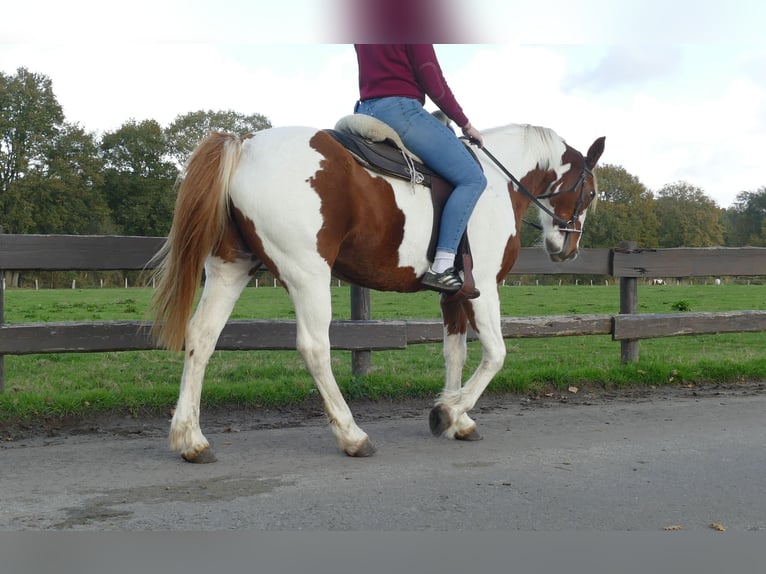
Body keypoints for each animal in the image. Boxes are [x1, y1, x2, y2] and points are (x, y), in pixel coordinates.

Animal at [148, 120, 608, 464]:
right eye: (591, 192)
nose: (567, 249)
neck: (496, 181)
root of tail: (245, 143)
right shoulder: (486, 289)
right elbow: (496, 354)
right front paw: (447, 413)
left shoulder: (455, 294)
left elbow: (455, 353)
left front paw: (458, 419)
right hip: (307, 274)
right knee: (314, 348)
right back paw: (352, 435)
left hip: (231, 268)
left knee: (202, 337)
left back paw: (191, 439)